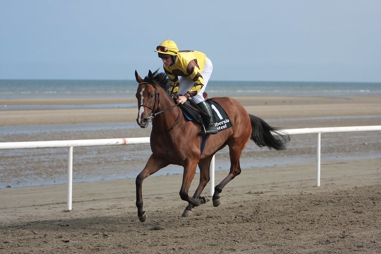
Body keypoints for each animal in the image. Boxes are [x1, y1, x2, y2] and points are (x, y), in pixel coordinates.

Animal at [134, 70, 288, 222]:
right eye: (137, 95)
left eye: (151, 95)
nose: (142, 120)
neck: (171, 126)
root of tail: (243, 110)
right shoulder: (159, 158)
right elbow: (139, 178)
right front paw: (141, 212)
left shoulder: (190, 161)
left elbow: (183, 192)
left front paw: (200, 200)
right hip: (206, 154)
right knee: (205, 178)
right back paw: (190, 206)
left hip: (236, 145)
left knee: (235, 170)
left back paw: (215, 195)